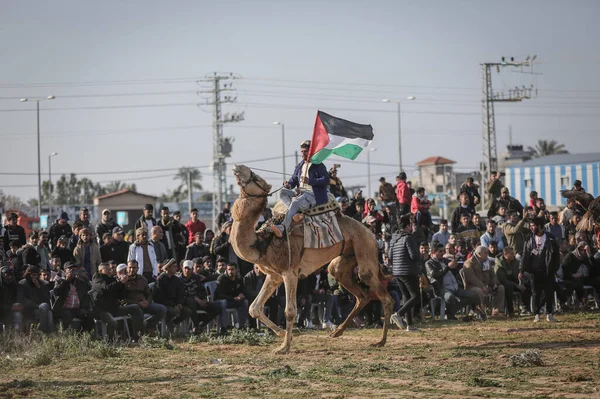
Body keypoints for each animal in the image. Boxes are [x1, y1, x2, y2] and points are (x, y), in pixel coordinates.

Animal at [230, 164, 394, 354]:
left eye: (255, 177)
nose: (238, 167)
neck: (263, 242)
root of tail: (371, 234)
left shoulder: (289, 271)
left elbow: (290, 311)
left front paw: (284, 347)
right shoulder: (274, 275)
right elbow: (254, 308)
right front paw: (283, 335)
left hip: (364, 248)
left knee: (381, 293)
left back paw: (380, 341)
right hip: (346, 258)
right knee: (357, 291)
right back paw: (337, 332)